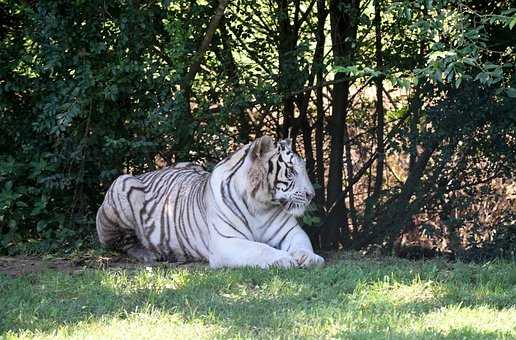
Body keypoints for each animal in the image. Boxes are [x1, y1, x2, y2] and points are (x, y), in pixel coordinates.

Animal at [95, 136, 322, 268]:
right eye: (291, 171)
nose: (311, 195)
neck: (260, 205)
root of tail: (149, 172)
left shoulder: (291, 232)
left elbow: (303, 243)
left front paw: (310, 258)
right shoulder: (226, 242)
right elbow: (260, 249)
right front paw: (283, 259)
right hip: (121, 186)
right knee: (121, 243)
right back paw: (148, 255)